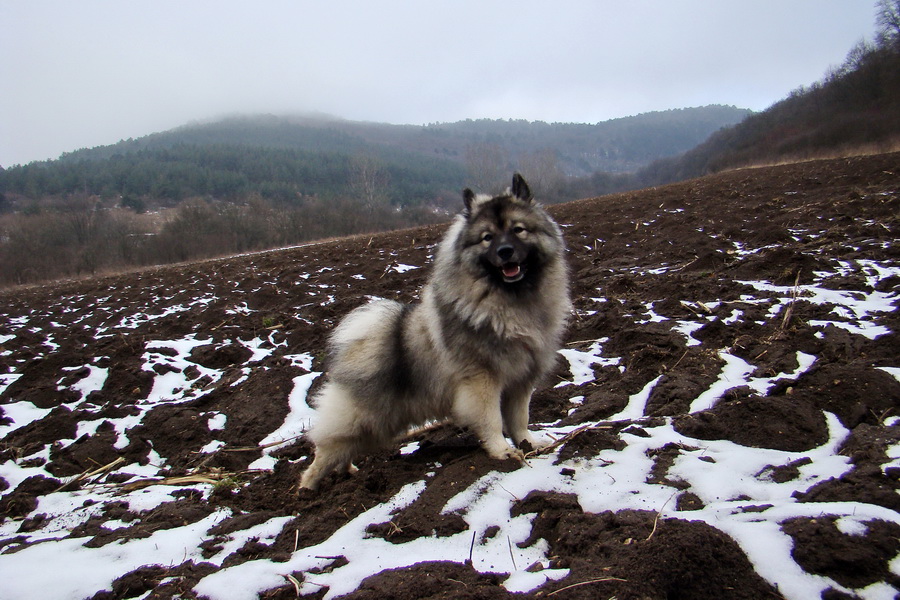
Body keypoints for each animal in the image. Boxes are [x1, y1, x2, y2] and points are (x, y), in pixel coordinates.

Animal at [300, 171, 568, 490]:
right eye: (487, 238)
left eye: (519, 230)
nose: (505, 252)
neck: (510, 301)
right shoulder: (482, 382)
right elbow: (491, 420)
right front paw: (502, 452)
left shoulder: (521, 381)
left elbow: (520, 419)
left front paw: (528, 444)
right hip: (357, 419)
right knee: (325, 452)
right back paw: (306, 489)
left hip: (375, 424)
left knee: (345, 451)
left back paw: (348, 473)